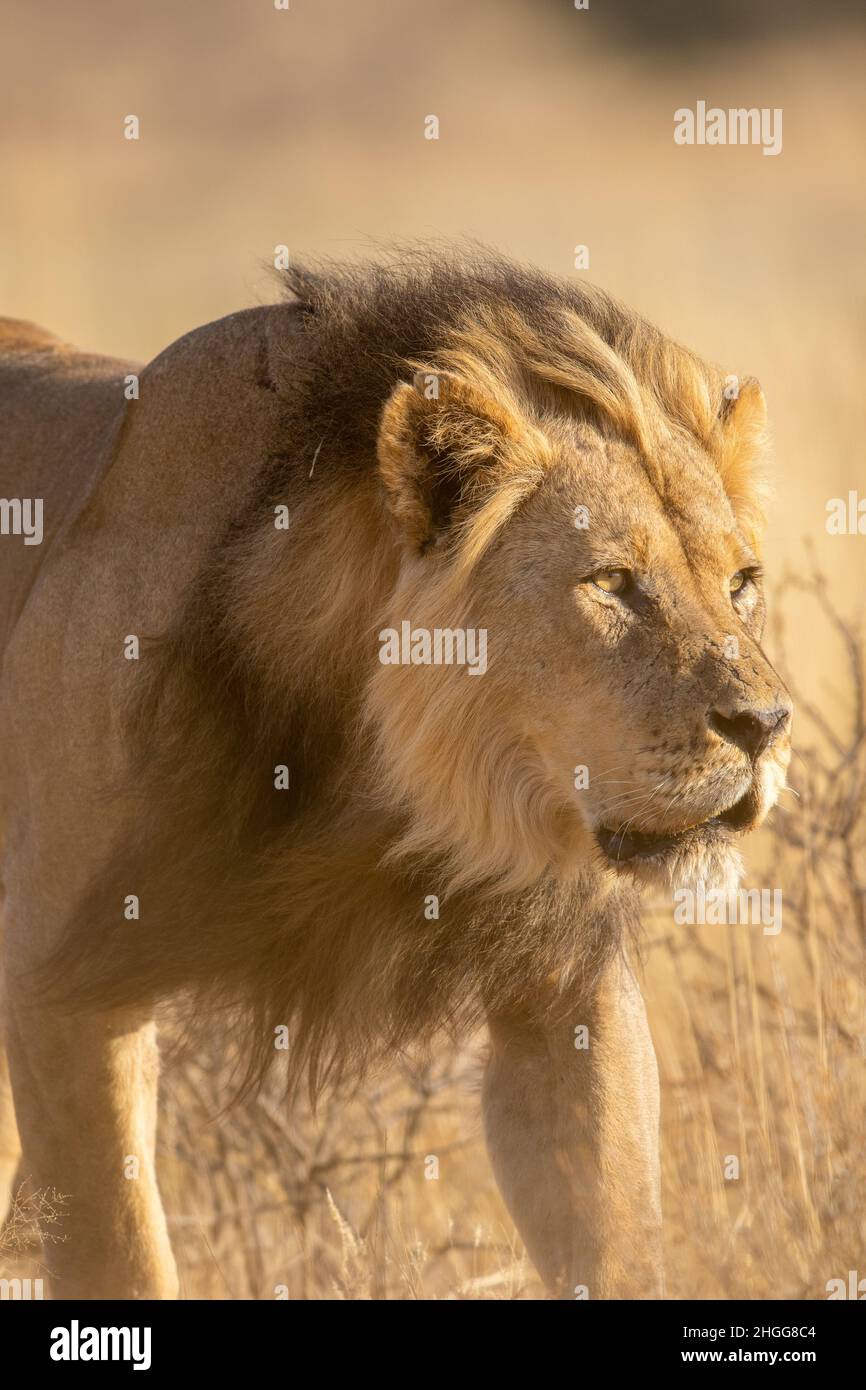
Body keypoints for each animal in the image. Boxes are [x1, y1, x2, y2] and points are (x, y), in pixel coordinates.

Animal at [0, 249, 792, 1300]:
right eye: (612, 583)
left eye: (741, 584)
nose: (767, 726)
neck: (381, 791)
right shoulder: (62, 984)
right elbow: (116, 1250)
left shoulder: (564, 984)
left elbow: (614, 1225)